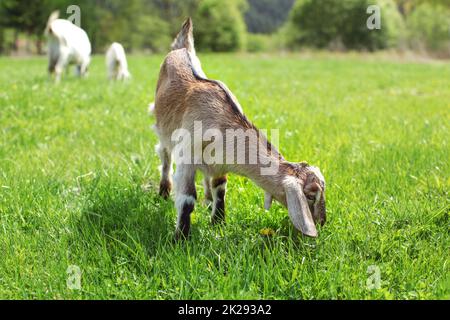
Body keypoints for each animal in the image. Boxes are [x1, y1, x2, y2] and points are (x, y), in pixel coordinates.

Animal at [153, 17, 326, 238]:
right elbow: (188, 197)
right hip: (162, 128)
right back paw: (164, 191)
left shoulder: (219, 163)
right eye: (311, 195)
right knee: (165, 155)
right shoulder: (187, 158)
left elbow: (220, 188)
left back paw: (207, 200)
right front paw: (180, 237)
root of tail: (182, 48)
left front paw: (218, 222)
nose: (322, 222)